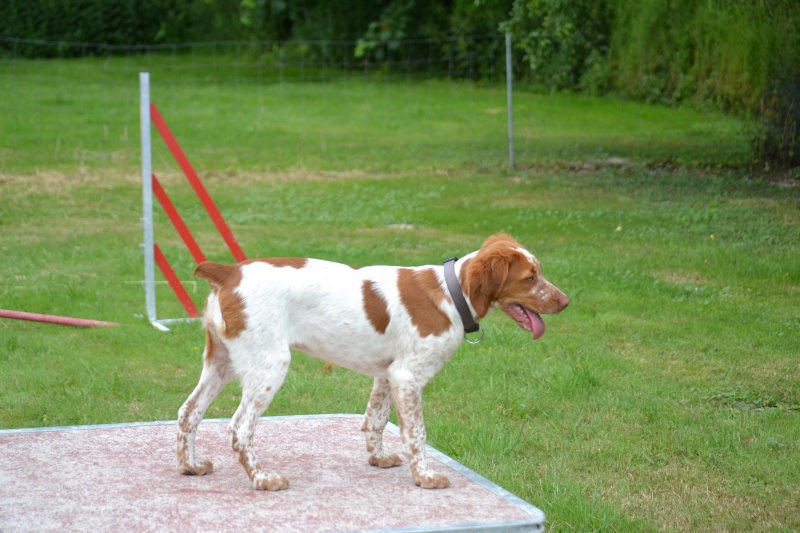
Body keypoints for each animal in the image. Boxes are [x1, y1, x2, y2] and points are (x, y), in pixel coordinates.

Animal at [179, 233, 572, 490]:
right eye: (530, 278)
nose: (566, 302)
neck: (451, 294)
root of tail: (230, 272)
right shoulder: (408, 377)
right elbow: (416, 433)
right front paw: (424, 477)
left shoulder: (388, 374)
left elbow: (376, 419)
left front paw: (378, 459)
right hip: (269, 365)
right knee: (239, 427)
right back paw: (263, 479)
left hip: (221, 362)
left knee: (189, 411)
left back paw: (190, 466)